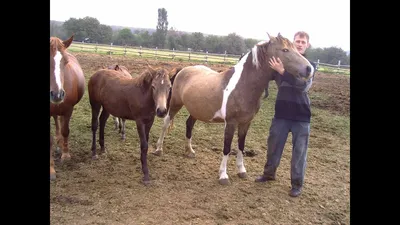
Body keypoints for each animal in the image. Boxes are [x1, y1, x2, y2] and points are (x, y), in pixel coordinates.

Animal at [152, 33, 312, 185]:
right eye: (285, 50)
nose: (309, 69)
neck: (243, 86)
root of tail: (183, 69)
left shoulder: (245, 123)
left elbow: (241, 146)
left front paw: (242, 171)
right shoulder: (231, 123)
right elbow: (227, 148)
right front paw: (223, 176)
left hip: (196, 110)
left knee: (189, 124)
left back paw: (189, 151)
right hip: (175, 104)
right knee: (166, 122)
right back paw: (159, 149)